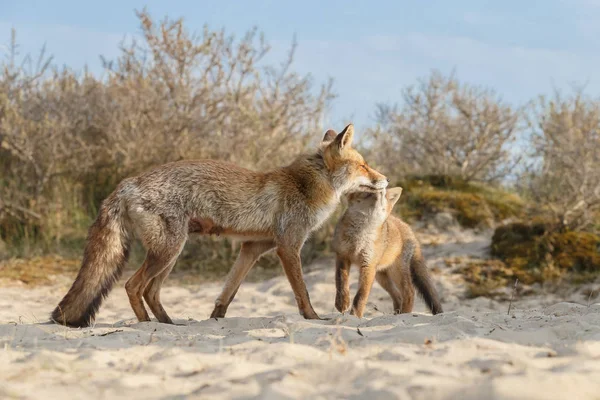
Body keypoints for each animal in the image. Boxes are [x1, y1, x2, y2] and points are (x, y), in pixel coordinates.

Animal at [51, 125, 390, 328]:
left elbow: (228, 292)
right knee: (134, 286)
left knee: (151, 292)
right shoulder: (288, 247)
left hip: (170, 254)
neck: (306, 187)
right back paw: (148, 324)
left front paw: (216, 319)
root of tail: (127, 183)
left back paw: (168, 324)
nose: (385, 179)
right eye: (363, 166)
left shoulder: (252, 248)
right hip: (168, 250)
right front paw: (313, 317)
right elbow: (302, 292)